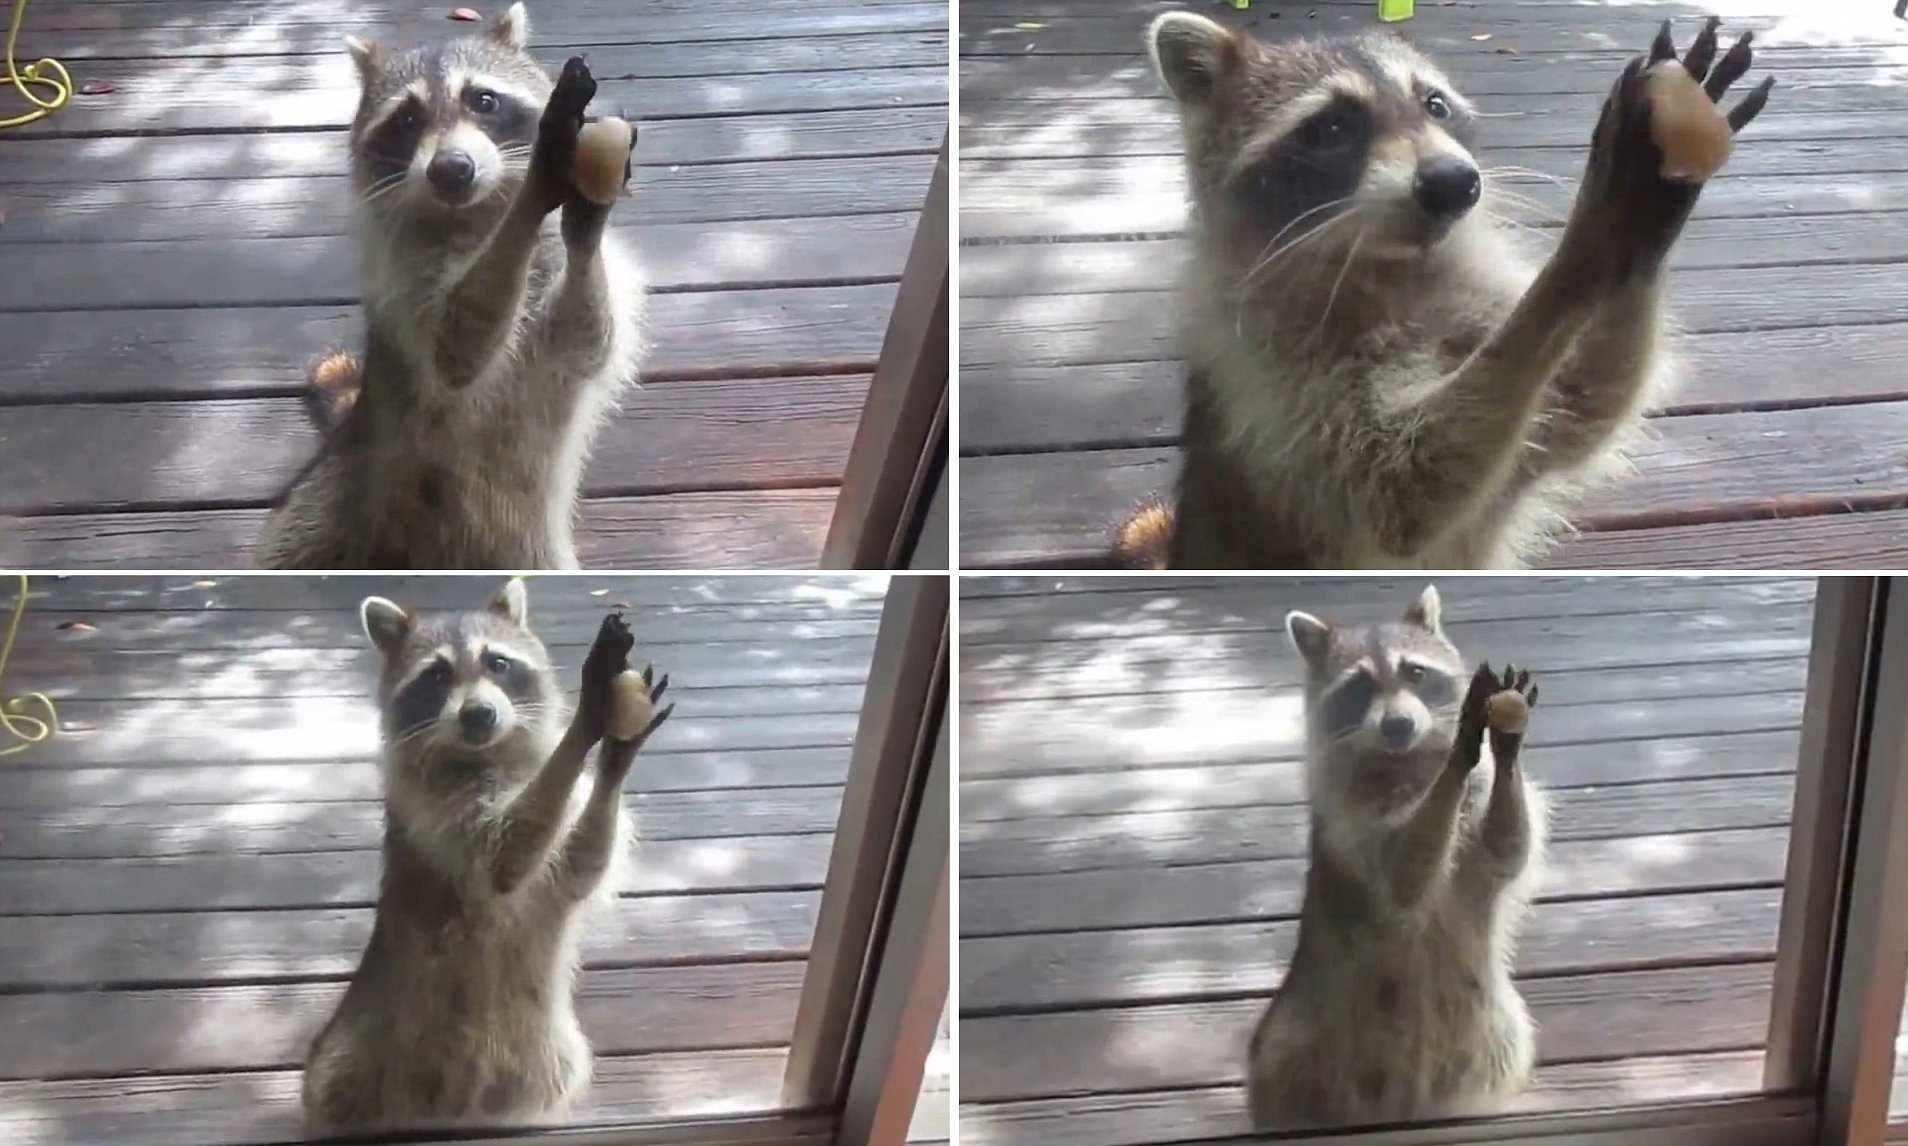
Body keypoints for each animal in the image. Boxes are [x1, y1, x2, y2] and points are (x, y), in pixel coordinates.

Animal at [256, 3, 647, 570]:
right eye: (408, 119)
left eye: (483, 101)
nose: (451, 170)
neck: (475, 217)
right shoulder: (403, 281)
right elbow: (458, 348)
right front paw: (536, 185)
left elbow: (586, 338)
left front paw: (585, 215)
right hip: (325, 505)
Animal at [301, 581, 674, 1131]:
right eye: (436, 675)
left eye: (497, 663)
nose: (479, 713)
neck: (487, 755)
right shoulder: (434, 813)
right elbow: (504, 856)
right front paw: (583, 722)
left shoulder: (556, 863)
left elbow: (581, 864)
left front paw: (614, 755)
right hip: (364, 1049)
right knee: (337, 1077)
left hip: (544, 1059)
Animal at [1118, 16, 1773, 569]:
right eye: (1331, 126)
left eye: (1435, 105)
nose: (1454, 183)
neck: (1399, 267)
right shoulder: (1263, 376)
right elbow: (1397, 488)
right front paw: (1583, 252)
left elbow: (1580, 404)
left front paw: (1646, 221)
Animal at [1246, 585, 1547, 1129]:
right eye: (1360, 687)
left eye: (1417, 674)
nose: (1399, 725)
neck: (1405, 764)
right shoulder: (1351, 827)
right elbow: (1406, 872)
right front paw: (1459, 753)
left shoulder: (1481, 825)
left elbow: (1506, 847)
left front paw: (1506, 742)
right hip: (1303, 1031)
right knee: (1286, 1049)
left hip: (1494, 1038)